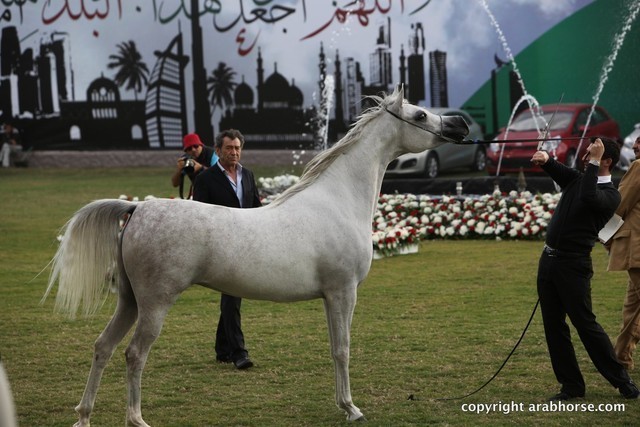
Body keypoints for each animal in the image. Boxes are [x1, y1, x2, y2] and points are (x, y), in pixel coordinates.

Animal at [43, 86, 469, 426]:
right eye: (419, 114)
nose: (460, 125)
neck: (338, 200)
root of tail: (138, 209)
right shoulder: (343, 292)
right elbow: (342, 350)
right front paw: (351, 408)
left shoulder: (331, 297)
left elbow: (335, 348)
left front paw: (343, 404)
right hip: (154, 305)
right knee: (133, 354)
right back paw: (136, 419)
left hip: (129, 301)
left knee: (103, 347)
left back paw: (83, 416)